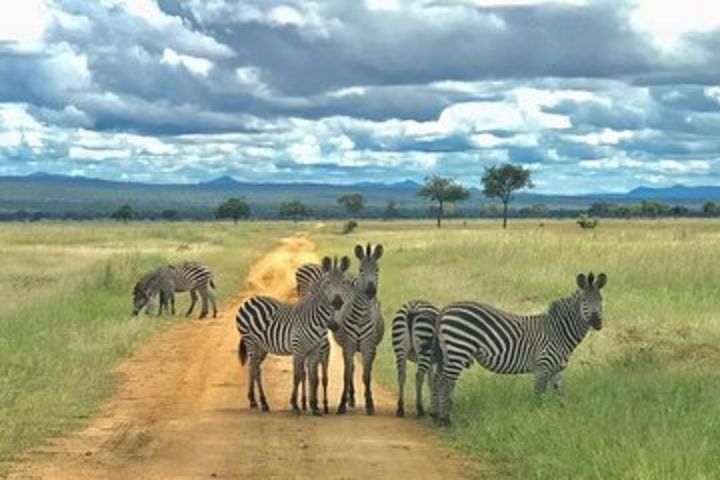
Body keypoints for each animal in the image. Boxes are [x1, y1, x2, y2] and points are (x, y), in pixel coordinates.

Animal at [236, 255, 352, 416]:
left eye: (343, 282)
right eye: (328, 283)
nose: (337, 302)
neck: (317, 319)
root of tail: (250, 300)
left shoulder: (314, 351)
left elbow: (313, 378)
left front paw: (314, 407)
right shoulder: (298, 350)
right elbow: (297, 376)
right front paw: (295, 406)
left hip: (261, 346)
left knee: (253, 367)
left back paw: (253, 400)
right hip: (250, 341)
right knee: (255, 369)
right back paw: (263, 404)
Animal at [334, 244, 386, 416]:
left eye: (377, 270)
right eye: (362, 269)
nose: (371, 291)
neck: (361, 315)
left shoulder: (368, 347)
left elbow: (367, 376)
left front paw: (369, 403)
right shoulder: (348, 346)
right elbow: (346, 375)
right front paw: (342, 404)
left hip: (372, 348)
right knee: (351, 370)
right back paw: (350, 399)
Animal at [434, 272, 608, 426]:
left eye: (600, 300)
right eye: (584, 300)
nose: (597, 323)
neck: (558, 332)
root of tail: (446, 309)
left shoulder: (557, 369)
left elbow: (560, 394)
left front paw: (562, 415)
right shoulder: (542, 366)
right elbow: (539, 395)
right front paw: (539, 417)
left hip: (451, 353)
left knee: (441, 380)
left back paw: (440, 415)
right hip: (459, 348)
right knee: (444, 382)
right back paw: (444, 420)